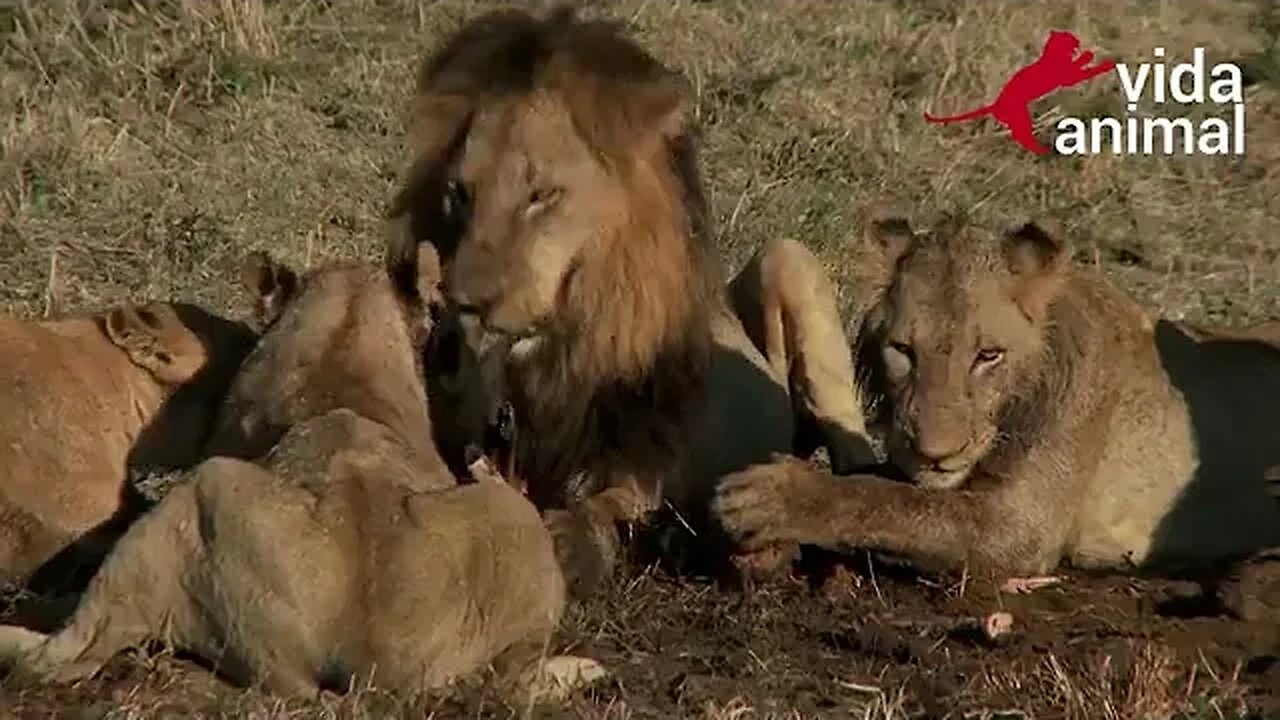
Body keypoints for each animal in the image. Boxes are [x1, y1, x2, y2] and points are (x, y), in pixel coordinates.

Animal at [384, 5, 875, 591]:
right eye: (460, 192)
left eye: (542, 195)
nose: (464, 301)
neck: (559, 352)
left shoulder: (650, 451)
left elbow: (615, 502)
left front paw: (577, 541)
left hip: (791, 258)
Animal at [716, 215, 1280, 579]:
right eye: (903, 350)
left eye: (988, 355)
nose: (934, 454)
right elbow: (875, 482)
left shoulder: (1021, 525)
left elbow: (887, 500)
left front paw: (766, 496)